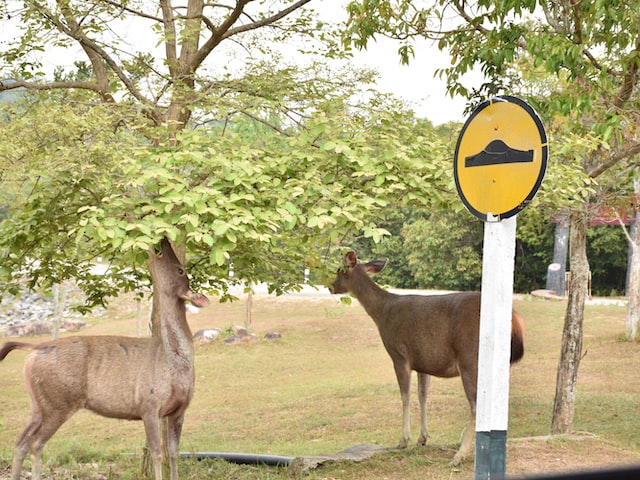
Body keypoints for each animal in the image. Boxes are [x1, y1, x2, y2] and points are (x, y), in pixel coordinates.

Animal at [0, 239, 210, 480]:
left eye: (180, 269)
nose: (163, 241)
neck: (175, 366)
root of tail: (35, 348)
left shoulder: (178, 410)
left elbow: (173, 453)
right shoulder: (148, 404)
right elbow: (158, 453)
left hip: (40, 404)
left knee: (22, 441)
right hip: (57, 403)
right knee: (36, 443)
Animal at [330, 251, 524, 464]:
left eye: (339, 270)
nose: (330, 286)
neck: (382, 313)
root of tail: (514, 318)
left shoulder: (400, 355)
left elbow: (405, 396)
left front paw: (403, 440)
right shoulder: (423, 362)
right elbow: (423, 396)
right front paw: (422, 438)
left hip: (469, 359)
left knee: (475, 406)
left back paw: (459, 454)